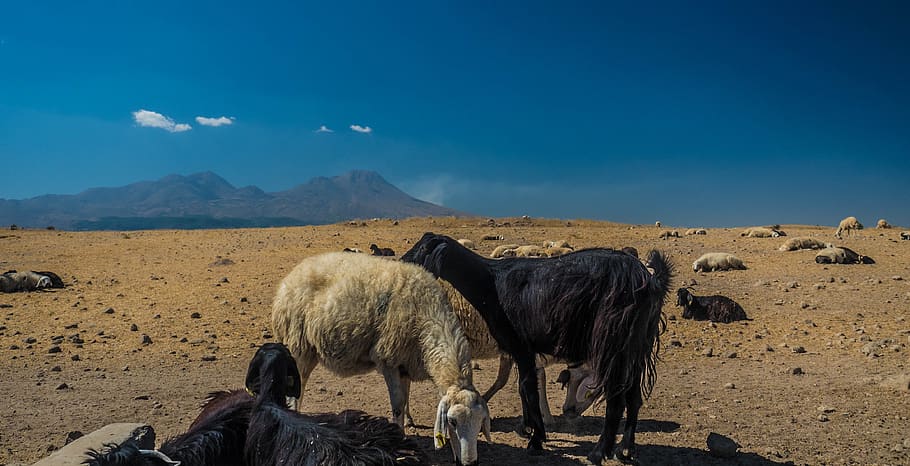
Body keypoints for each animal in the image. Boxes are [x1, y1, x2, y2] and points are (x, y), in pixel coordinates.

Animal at [401, 233, 673, 464]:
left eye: (424, 248)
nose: (402, 262)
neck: (490, 282)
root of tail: (649, 280)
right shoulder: (522, 351)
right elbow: (525, 389)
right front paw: (534, 430)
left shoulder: (521, 347)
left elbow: (528, 389)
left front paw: (535, 438)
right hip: (637, 347)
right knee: (633, 397)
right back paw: (625, 449)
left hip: (613, 344)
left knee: (617, 401)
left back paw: (598, 453)